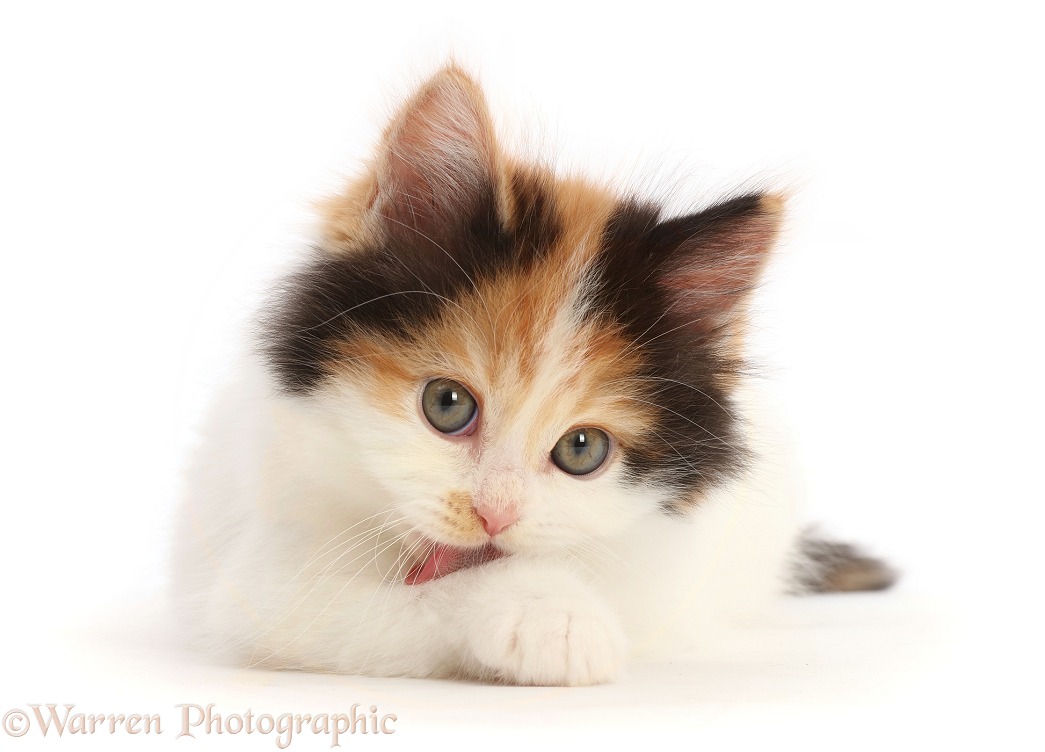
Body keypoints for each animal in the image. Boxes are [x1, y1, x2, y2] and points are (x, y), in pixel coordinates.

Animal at [171, 66, 890, 689]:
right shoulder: (266, 585)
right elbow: (408, 599)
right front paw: (552, 619)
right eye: (447, 404)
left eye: (582, 449)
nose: (495, 515)